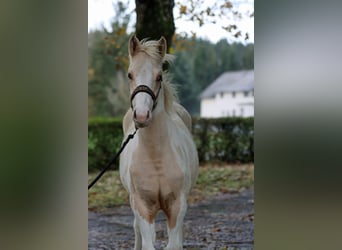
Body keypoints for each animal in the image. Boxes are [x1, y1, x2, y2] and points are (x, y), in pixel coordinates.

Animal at [119, 35, 199, 250]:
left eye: (159, 77)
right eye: (130, 75)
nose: (141, 115)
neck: (155, 156)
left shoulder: (177, 205)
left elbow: (173, 244)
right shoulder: (142, 206)